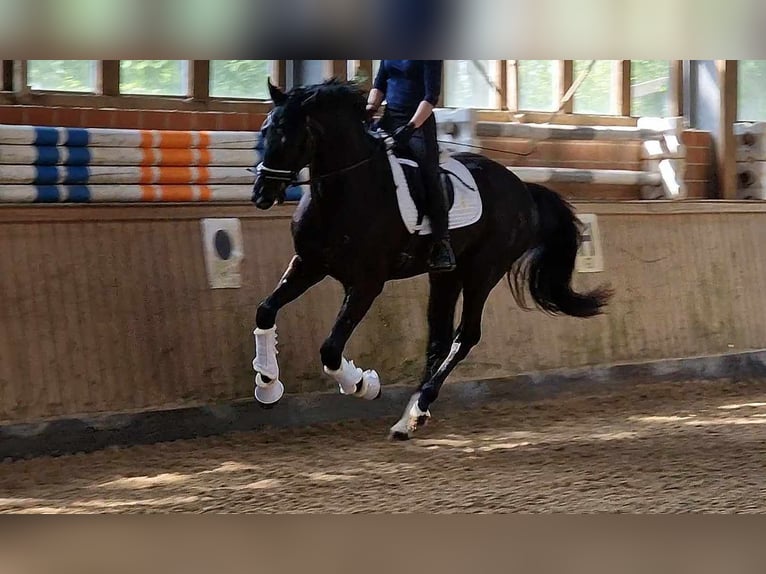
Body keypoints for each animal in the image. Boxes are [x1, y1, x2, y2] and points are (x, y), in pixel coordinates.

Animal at [252, 79, 612, 440]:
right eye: (265, 129)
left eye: (288, 136)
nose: (261, 195)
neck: (345, 193)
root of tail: (522, 188)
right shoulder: (308, 264)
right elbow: (265, 310)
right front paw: (268, 384)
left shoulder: (367, 283)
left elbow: (330, 349)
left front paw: (364, 385)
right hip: (445, 275)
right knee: (439, 338)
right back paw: (410, 418)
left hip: (483, 271)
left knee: (465, 336)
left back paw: (416, 410)